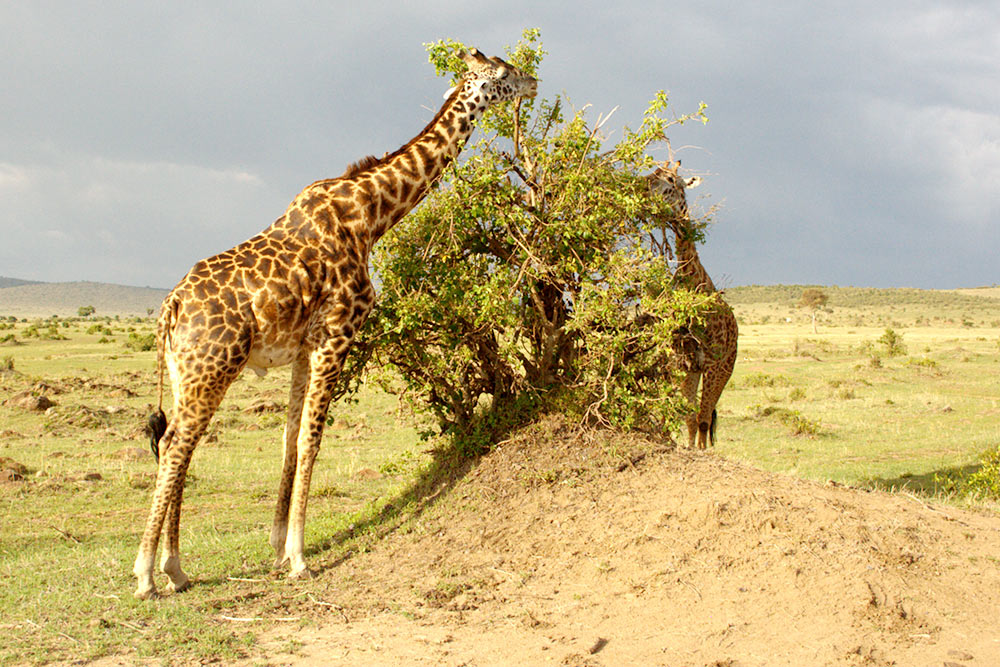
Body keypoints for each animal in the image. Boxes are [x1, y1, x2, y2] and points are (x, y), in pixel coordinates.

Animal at [136, 48, 540, 600]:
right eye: (503, 73)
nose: (534, 82)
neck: (371, 214)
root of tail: (171, 308)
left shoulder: (304, 348)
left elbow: (289, 436)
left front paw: (278, 545)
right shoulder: (337, 334)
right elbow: (312, 438)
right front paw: (300, 558)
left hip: (186, 371)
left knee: (177, 443)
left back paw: (175, 569)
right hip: (213, 367)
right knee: (177, 443)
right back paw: (145, 576)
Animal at [644, 161, 740, 448]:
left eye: (670, 182)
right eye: (653, 176)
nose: (643, 188)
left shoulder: (712, 364)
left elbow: (702, 419)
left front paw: (701, 453)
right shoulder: (681, 362)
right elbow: (685, 416)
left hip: (726, 367)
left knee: (705, 418)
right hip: (695, 371)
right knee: (695, 416)